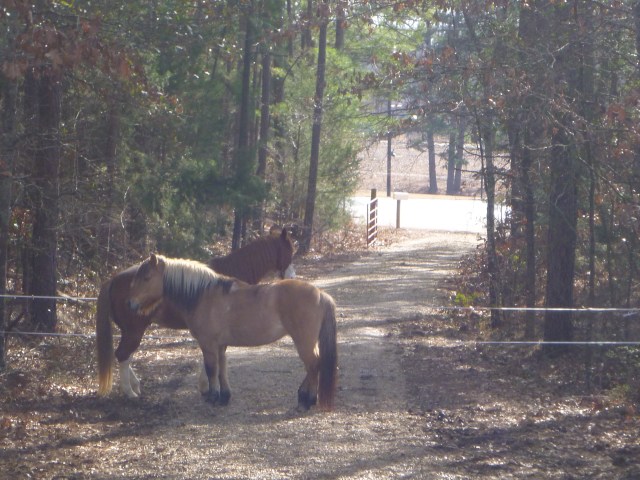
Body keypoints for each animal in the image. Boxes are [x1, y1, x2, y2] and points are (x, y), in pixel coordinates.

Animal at [96, 228, 295, 398]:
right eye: (290, 251)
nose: (292, 277)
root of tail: (112, 280)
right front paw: (207, 386)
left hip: (129, 331)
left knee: (124, 355)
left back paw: (135, 385)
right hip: (134, 330)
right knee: (123, 355)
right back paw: (130, 392)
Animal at [127, 253, 337, 410]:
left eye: (146, 277)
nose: (131, 304)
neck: (204, 295)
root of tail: (320, 294)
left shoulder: (208, 345)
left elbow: (211, 370)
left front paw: (213, 397)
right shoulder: (221, 346)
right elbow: (222, 370)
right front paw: (224, 397)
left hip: (303, 341)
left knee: (313, 365)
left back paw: (307, 401)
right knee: (314, 365)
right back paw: (304, 397)